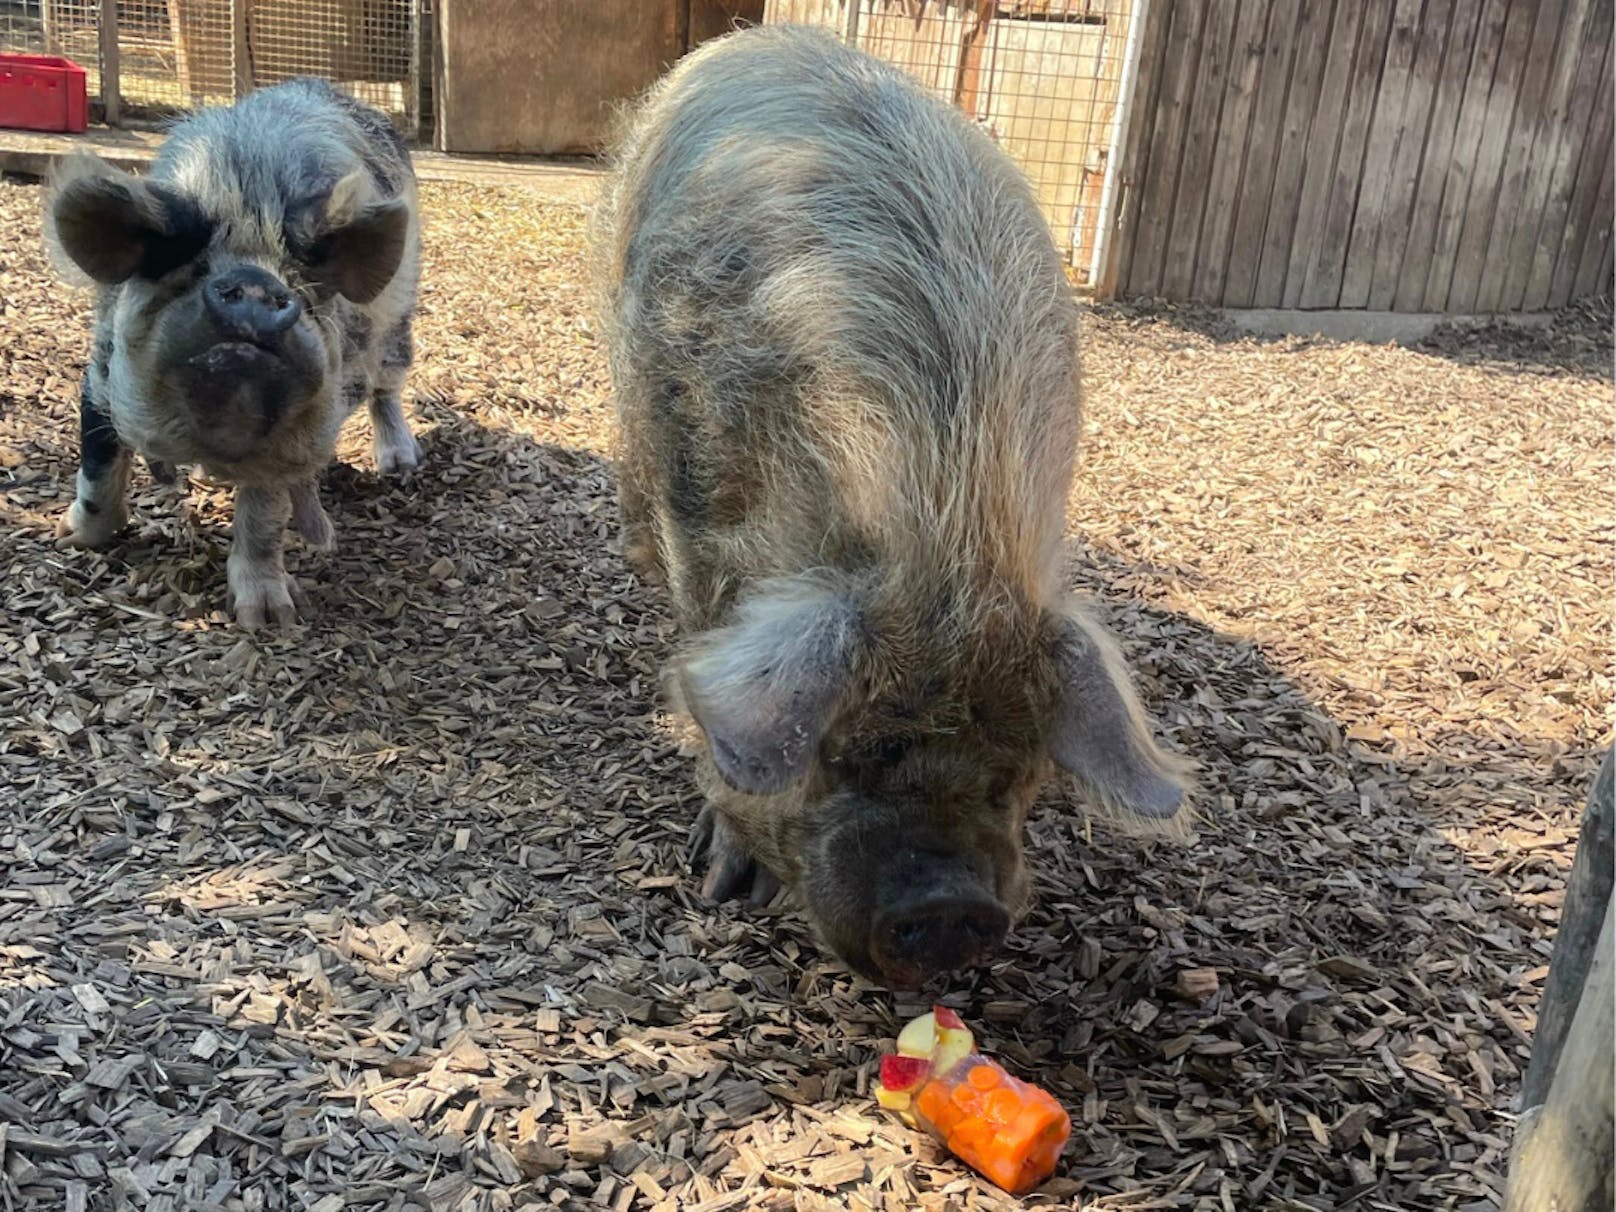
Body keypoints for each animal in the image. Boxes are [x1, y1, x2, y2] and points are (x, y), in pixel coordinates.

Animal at [45, 78, 423, 627]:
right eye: (193, 271)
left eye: (301, 286)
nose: (255, 285)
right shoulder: (102, 374)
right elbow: (98, 469)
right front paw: (67, 537)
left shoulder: (293, 439)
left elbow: (264, 517)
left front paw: (267, 619)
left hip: (399, 320)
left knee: (387, 386)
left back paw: (399, 464)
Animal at [601, 23, 1195, 995]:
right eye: (846, 753)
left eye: (1017, 772)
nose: (952, 906)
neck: (945, 536)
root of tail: (765, 34)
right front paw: (724, 884)